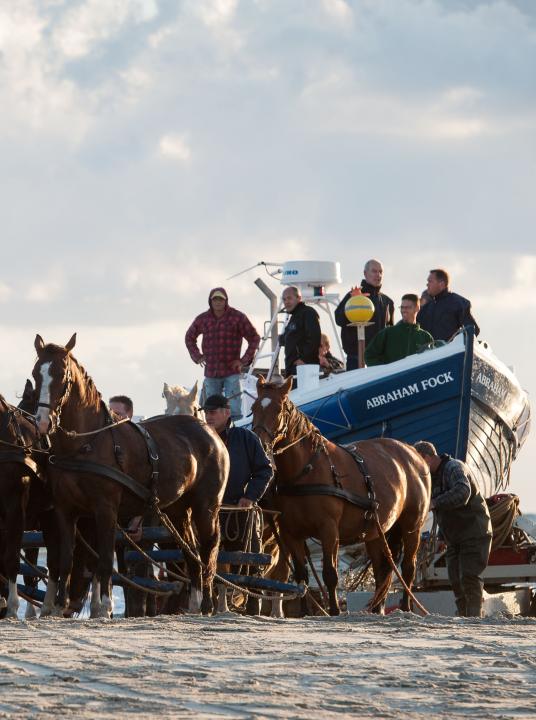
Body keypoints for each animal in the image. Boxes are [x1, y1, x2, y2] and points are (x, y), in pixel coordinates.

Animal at [31, 334, 228, 616]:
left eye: (62, 374)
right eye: (37, 374)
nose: (43, 422)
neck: (85, 443)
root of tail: (210, 432)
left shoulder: (105, 509)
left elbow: (104, 561)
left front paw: (104, 607)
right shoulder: (65, 510)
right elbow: (66, 560)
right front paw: (58, 607)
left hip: (206, 506)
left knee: (208, 548)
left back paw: (208, 604)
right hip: (178, 509)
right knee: (191, 553)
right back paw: (194, 604)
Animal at [251, 374, 432, 616]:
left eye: (278, 409)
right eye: (253, 408)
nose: (259, 443)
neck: (306, 469)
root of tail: (413, 453)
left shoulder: (328, 529)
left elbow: (330, 574)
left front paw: (334, 610)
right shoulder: (291, 533)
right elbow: (301, 576)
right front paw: (305, 612)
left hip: (412, 526)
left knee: (408, 568)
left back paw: (405, 607)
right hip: (377, 531)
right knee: (382, 569)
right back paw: (377, 609)